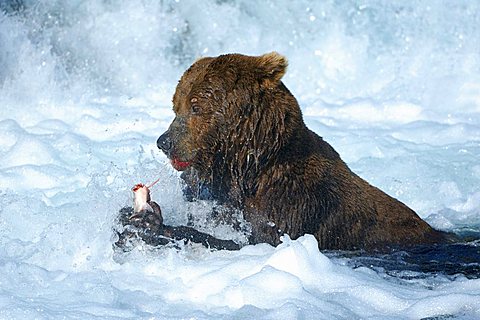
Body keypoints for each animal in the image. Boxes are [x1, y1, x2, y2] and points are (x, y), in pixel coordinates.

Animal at [156, 52, 448, 252]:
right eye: (176, 105)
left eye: (196, 106)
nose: (164, 141)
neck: (247, 168)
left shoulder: (292, 203)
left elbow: (259, 240)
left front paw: (156, 223)